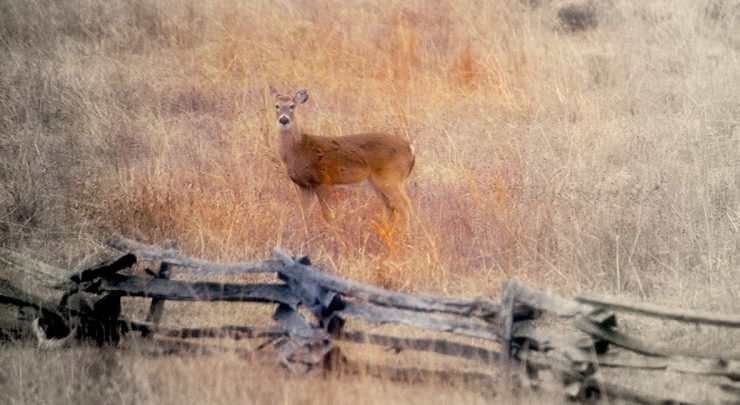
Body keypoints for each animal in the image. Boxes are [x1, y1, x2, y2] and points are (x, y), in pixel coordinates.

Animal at [268, 85, 416, 230]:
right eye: (276, 105)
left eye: (292, 106)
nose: (284, 120)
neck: (297, 150)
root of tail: (410, 147)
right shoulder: (304, 185)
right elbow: (305, 214)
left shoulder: (323, 180)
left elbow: (328, 214)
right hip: (377, 182)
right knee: (391, 207)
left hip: (390, 176)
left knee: (404, 204)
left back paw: (405, 233)